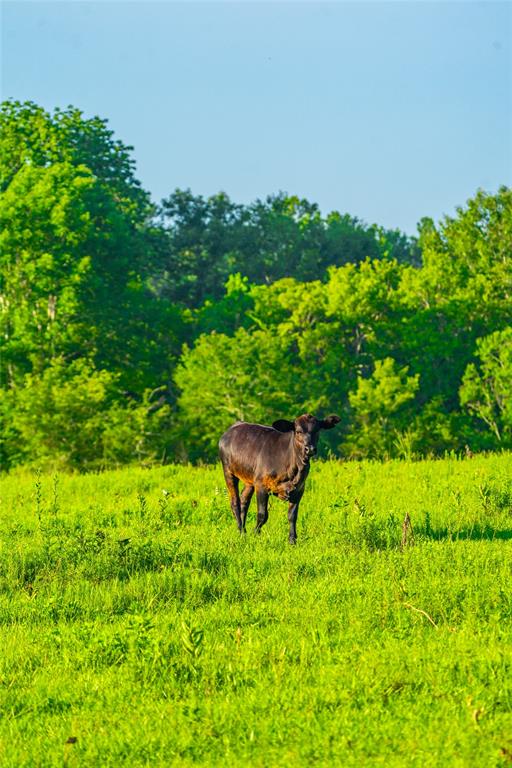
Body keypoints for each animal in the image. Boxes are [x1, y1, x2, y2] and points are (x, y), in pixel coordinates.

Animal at [217, 412, 340, 544]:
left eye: (317, 430)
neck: (294, 470)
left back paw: (243, 530)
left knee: (244, 500)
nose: (310, 449)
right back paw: (241, 531)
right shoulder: (261, 485)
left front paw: (292, 540)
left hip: (249, 479)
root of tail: (232, 428)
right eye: (298, 431)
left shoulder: (299, 490)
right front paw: (255, 534)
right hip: (228, 472)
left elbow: (292, 516)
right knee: (235, 502)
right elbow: (262, 514)